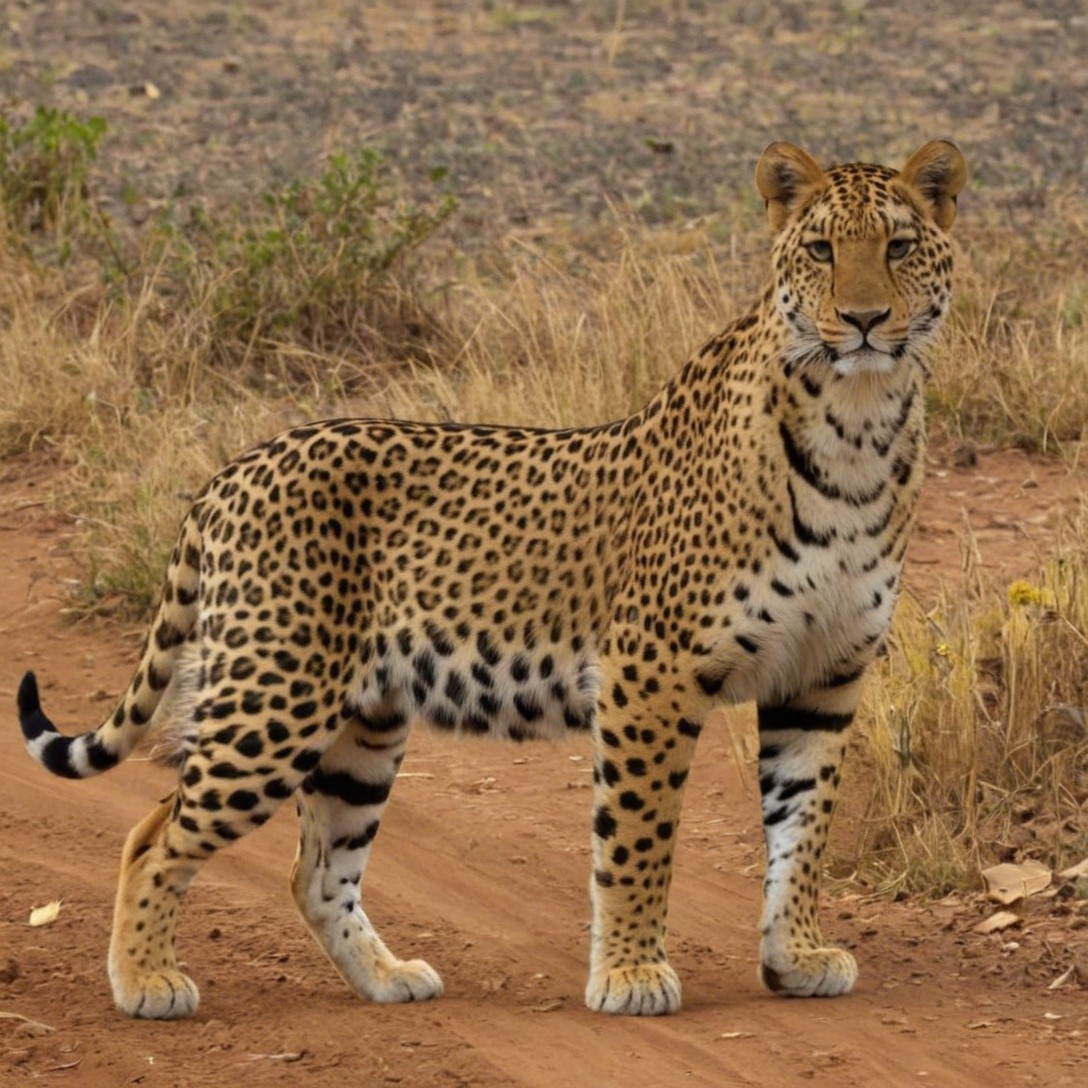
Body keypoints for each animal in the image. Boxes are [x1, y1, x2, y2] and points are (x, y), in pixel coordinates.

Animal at [17, 139, 967, 1020]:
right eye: (821, 250)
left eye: (898, 246)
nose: (865, 319)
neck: (859, 426)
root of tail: (232, 469)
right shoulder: (650, 676)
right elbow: (639, 837)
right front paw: (630, 975)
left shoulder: (824, 678)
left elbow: (804, 829)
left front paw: (794, 957)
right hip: (274, 699)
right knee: (153, 833)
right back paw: (147, 982)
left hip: (363, 725)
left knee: (315, 869)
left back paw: (387, 978)